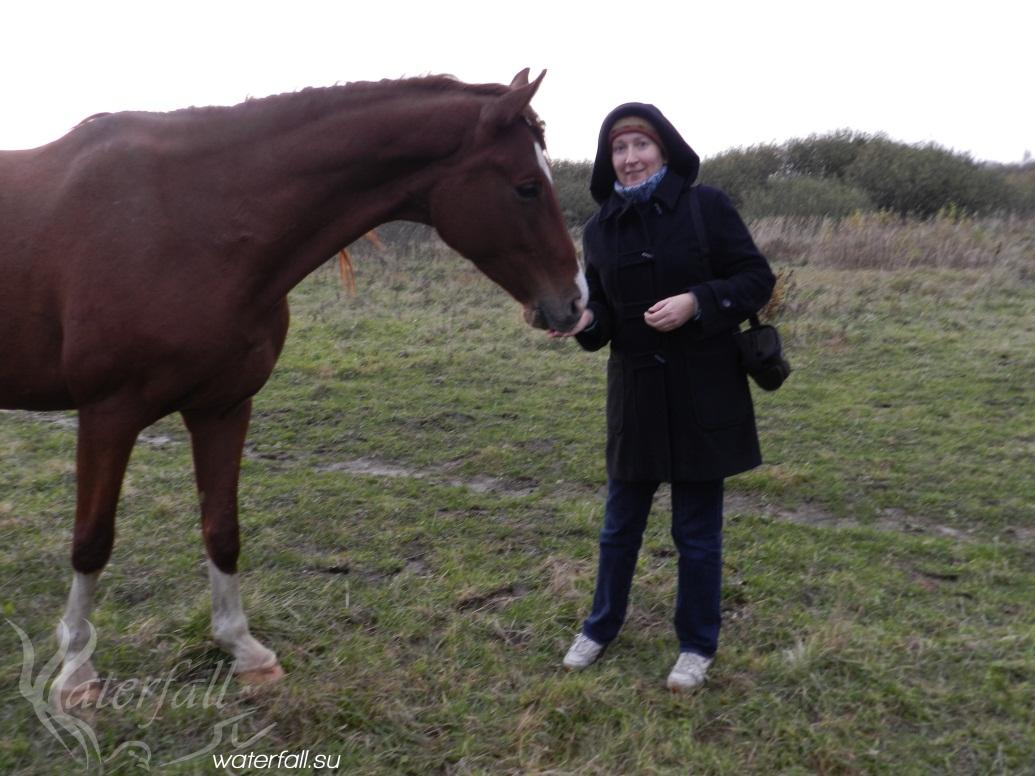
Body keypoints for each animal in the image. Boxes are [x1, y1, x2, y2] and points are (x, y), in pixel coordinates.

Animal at [0, 69, 586, 705]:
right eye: (527, 188)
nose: (575, 302)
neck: (191, 217)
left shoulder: (223, 408)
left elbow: (222, 529)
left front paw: (243, 649)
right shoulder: (108, 413)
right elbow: (92, 540)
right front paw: (76, 671)